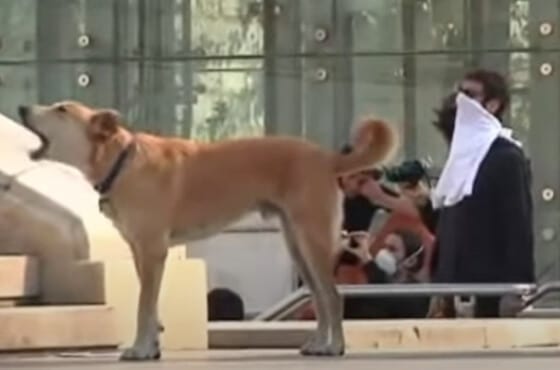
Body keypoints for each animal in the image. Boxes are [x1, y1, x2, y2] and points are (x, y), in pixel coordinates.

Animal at [16, 101, 394, 362]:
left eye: (62, 109)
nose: (21, 107)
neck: (123, 161)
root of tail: (326, 157)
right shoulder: (142, 253)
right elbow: (150, 306)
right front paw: (152, 346)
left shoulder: (152, 251)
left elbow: (143, 306)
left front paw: (140, 349)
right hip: (296, 244)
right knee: (319, 296)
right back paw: (318, 343)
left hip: (311, 239)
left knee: (333, 296)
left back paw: (336, 347)